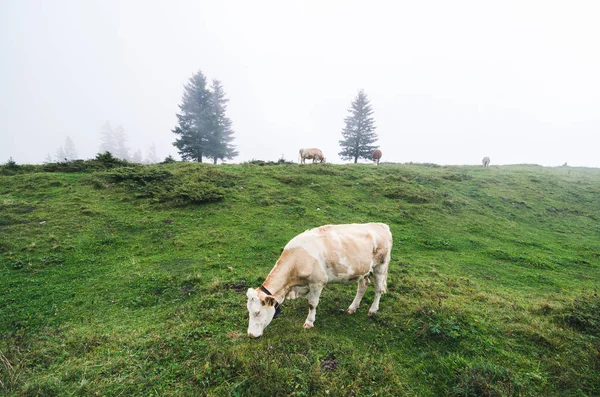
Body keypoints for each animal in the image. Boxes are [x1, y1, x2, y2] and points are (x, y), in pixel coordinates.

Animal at [246, 221, 392, 336]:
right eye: (249, 311)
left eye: (257, 312)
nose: (251, 335)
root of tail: (380, 225)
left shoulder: (317, 283)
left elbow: (312, 304)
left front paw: (309, 322)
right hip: (364, 270)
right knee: (363, 286)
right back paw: (352, 307)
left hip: (380, 267)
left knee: (378, 289)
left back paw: (372, 310)